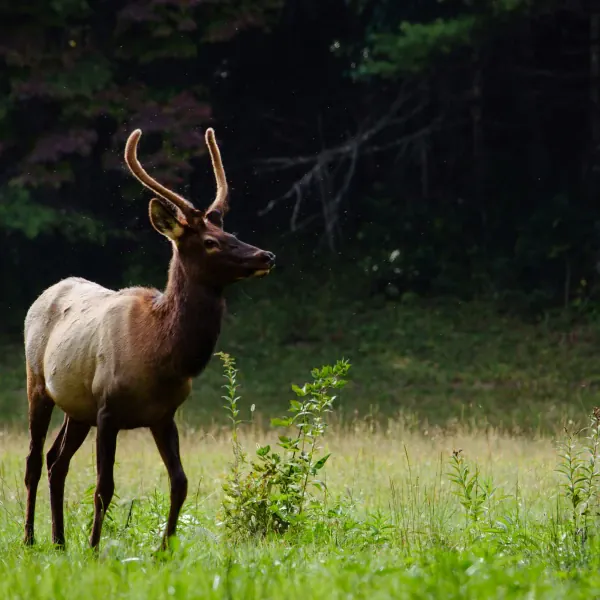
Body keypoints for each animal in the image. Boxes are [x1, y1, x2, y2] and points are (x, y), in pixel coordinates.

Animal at [22, 129, 276, 552]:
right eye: (210, 242)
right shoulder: (108, 409)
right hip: (38, 384)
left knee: (57, 461)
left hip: (77, 407)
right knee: (33, 461)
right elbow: (103, 487)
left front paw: (165, 548)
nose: (266, 256)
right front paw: (94, 549)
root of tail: (45, 293)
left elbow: (180, 482)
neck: (160, 355)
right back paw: (29, 538)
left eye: (231, 233)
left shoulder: (163, 414)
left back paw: (59, 541)